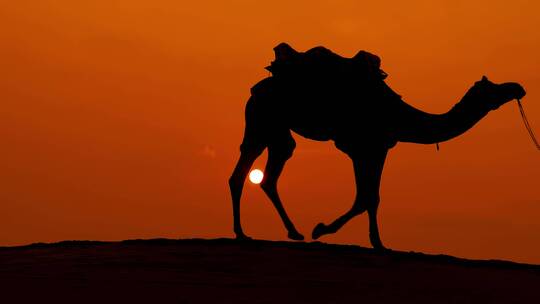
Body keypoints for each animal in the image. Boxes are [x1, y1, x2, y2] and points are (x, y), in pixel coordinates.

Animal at [226, 44, 524, 249]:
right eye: (494, 88)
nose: (518, 88)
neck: (400, 115)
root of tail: (256, 88)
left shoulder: (378, 149)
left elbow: (371, 198)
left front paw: (376, 241)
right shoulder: (363, 147)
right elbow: (365, 198)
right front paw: (323, 229)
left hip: (270, 128)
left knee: (263, 172)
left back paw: (285, 232)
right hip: (264, 119)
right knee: (251, 170)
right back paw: (246, 233)